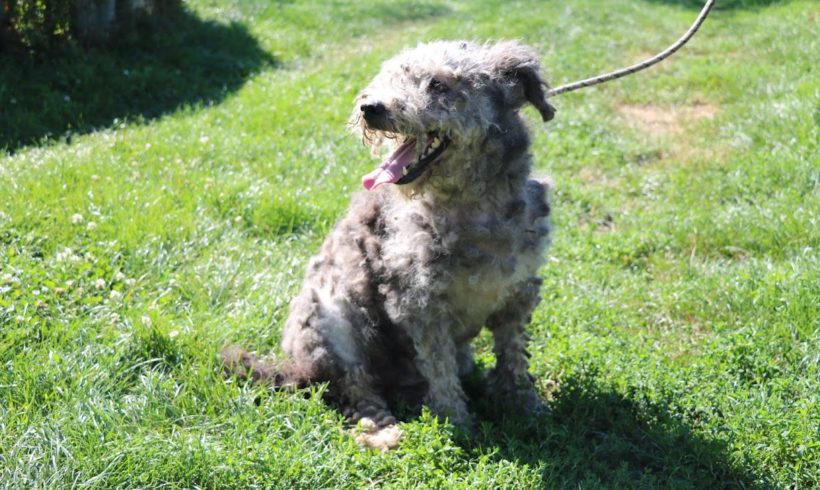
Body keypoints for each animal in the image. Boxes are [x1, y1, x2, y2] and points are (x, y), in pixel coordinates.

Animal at [221, 40, 556, 450]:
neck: (474, 209)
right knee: (356, 389)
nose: (371, 107)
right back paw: (384, 430)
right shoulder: (420, 304)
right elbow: (440, 369)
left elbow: (513, 357)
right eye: (393, 76)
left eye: (439, 85)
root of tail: (296, 368)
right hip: (332, 319)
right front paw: (457, 423)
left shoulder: (518, 294)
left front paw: (524, 406)